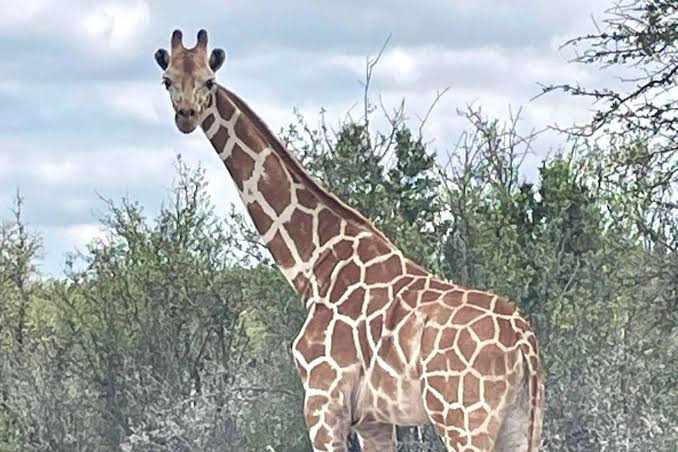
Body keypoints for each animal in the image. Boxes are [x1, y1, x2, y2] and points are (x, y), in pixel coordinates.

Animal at [154, 29, 545, 452]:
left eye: (209, 81)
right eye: (168, 80)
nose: (186, 116)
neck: (315, 264)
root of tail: (525, 343)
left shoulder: (323, 402)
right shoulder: (374, 420)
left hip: (464, 418)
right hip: (521, 422)